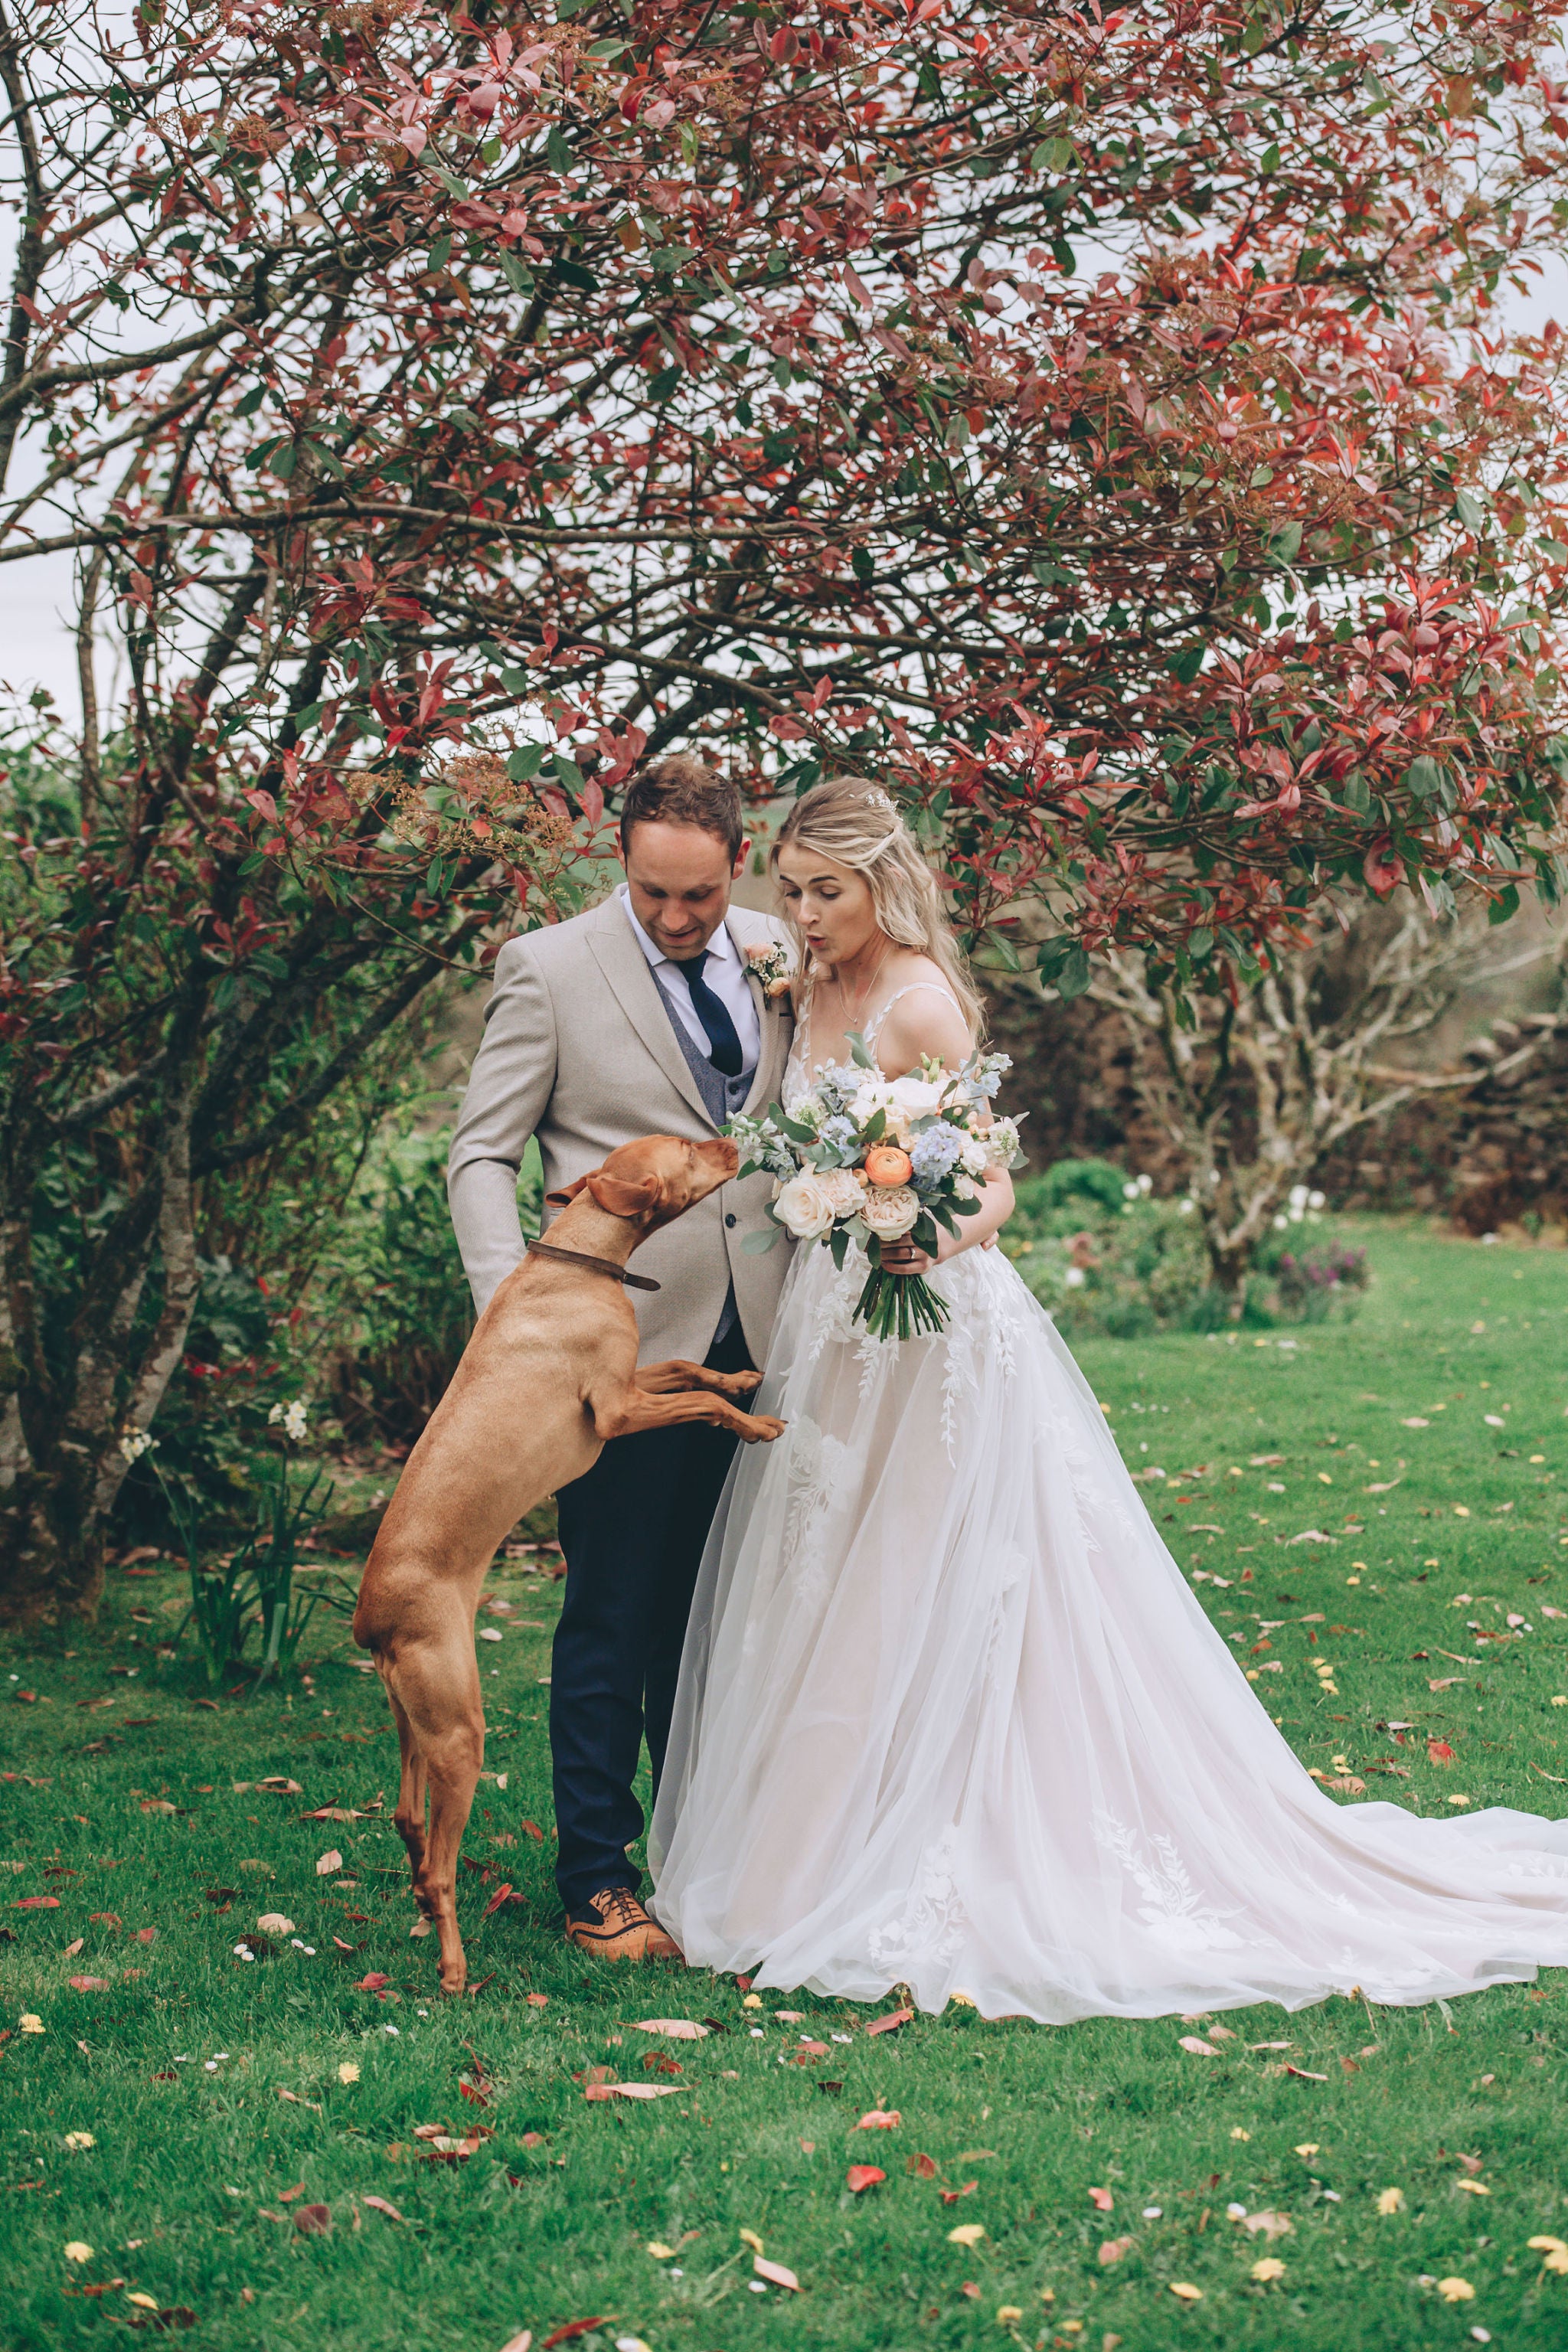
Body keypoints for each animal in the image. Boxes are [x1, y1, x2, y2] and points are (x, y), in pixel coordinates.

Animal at [354, 1129, 785, 1994]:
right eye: (687, 1148)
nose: (732, 1137)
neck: (575, 1266)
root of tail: (371, 1622)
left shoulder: (634, 1380)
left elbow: (686, 1370)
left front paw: (737, 1373)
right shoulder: (618, 1411)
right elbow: (697, 1401)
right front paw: (752, 1423)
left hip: (416, 1724)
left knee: (407, 1822)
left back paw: (418, 1909)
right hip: (460, 1729)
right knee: (444, 1867)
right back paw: (453, 1968)